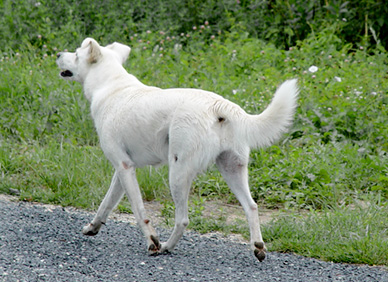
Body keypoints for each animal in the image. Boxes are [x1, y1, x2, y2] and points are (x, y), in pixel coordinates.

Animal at [56, 37, 298, 262]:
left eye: (76, 54)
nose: (57, 54)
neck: (111, 85)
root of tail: (220, 105)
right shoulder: (122, 169)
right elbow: (105, 204)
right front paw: (93, 227)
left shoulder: (124, 167)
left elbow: (140, 212)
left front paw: (152, 241)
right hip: (232, 170)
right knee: (252, 207)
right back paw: (258, 246)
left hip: (178, 174)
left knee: (182, 220)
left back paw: (165, 247)